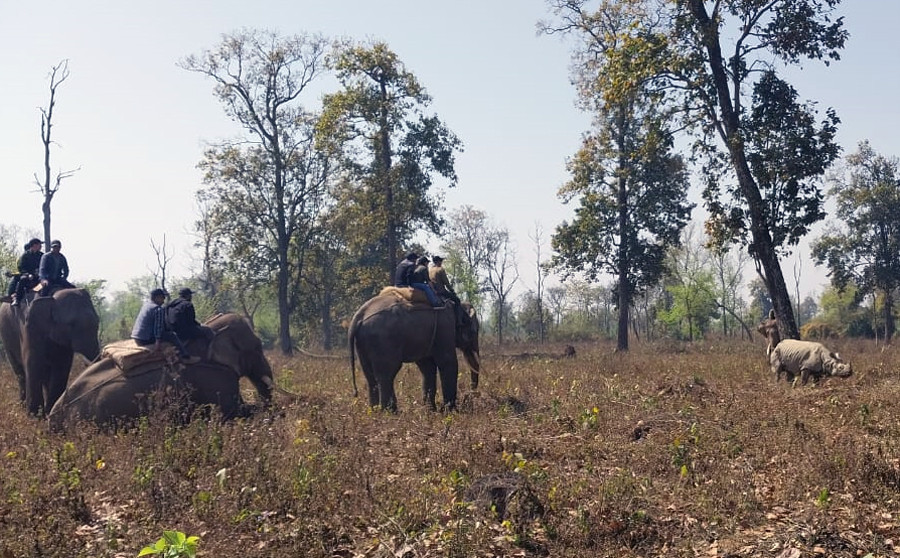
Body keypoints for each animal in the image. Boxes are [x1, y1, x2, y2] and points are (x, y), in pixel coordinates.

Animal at [0, 288, 100, 416]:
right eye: (70, 324)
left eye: (97, 322)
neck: (52, 296)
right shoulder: (29, 327)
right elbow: (34, 364)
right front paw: (36, 417)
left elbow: (61, 367)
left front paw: (50, 413)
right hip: (6, 337)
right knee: (20, 373)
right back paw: (23, 408)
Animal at [348, 290, 482, 414]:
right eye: (474, 331)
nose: (468, 396)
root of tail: (358, 316)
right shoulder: (445, 327)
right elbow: (448, 362)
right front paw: (450, 411)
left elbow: (427, 367)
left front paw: (431, 411)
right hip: (383, 341)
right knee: (387, 374)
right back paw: (391, 413)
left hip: (363, 343)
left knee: (370, 377)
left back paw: (375, 412)